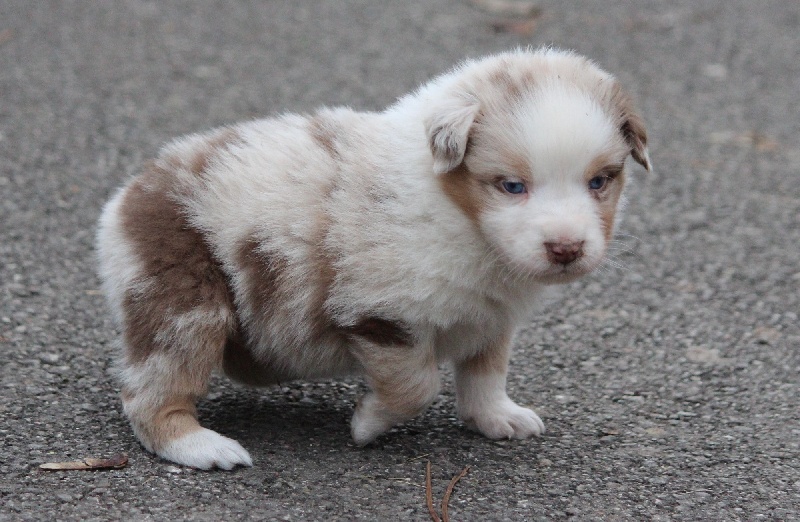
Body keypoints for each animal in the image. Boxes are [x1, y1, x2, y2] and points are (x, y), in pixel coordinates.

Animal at [96, 48, 650, 470]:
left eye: (600, 181)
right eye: (512, 186)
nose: (566, 248)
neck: (459, 214)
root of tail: (125, 198)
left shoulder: (491, 315)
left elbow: (486, 373)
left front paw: (498, 418)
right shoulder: (384, 314)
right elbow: (417, 385)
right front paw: (367, 424)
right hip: (183, 298)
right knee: (152, 393)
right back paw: (203, 447)